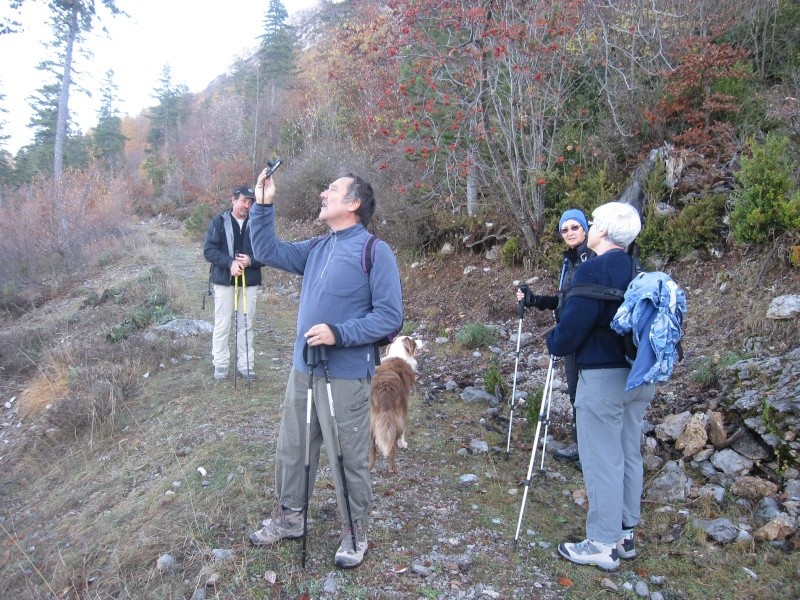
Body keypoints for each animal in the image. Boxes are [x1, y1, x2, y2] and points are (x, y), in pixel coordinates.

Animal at [368, 338, 418, 474]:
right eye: (413, 340)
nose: (420, 340)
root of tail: (385, 386)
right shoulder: (404, 408)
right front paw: (403, 443)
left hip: (374, 418)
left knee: (373, 445)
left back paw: (372, 467)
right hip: (395, 417)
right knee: (392, 445)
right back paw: (393, 468)